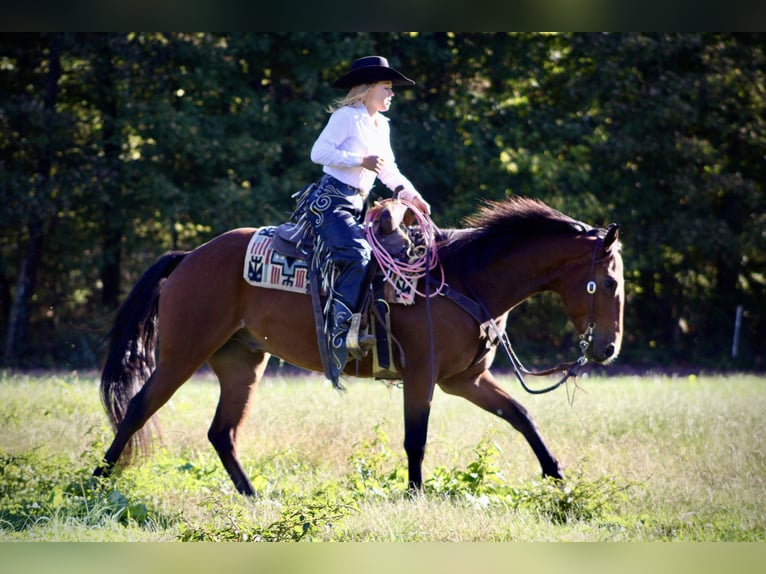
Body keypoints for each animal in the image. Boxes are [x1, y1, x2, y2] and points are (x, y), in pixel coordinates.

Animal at [93, 197, 624, 496]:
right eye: (610, 281)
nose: (608, 349)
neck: (463, 277)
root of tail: (188, 256)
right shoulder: (424, 375)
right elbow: (416, 438)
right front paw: (415, 496)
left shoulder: (465, 380)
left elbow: (521, 416)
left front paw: (557, 477)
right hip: (181, 356)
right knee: (138, 408)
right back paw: (97, 482)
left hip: (241, 364)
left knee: (222, 433)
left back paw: (253, 497)